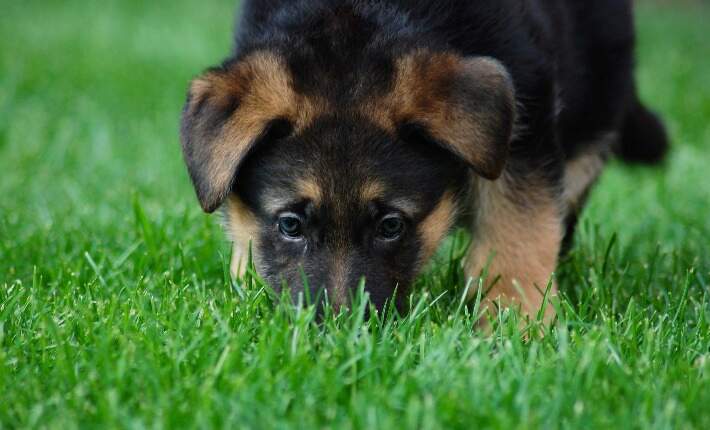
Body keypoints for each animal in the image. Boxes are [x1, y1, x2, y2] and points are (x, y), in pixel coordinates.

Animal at [181, 0, 672, 320]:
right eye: (290, 224)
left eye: (391, 225)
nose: (341, 330)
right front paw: (245, 280)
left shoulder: (525, 117)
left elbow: (519, 229)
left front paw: (515, 323)